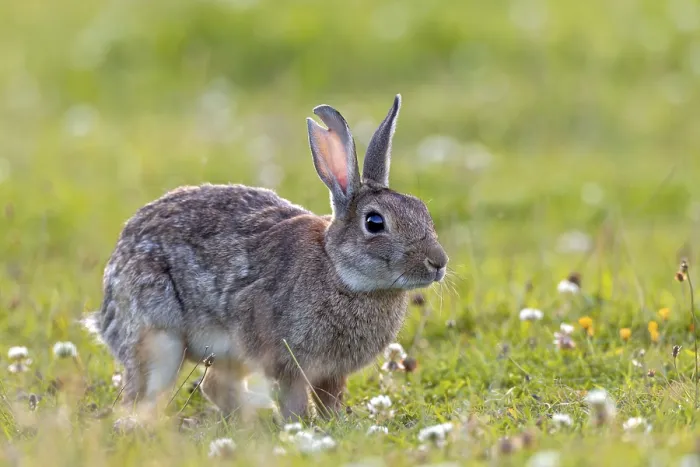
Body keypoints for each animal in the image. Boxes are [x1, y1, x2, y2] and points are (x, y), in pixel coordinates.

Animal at [89, 94, 448, 421]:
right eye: (374, 223)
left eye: (421, 209)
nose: (438, 262)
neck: (338, 271)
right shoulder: (284, 359)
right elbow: (294, 399)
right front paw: (299, 425)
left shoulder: (331, 372)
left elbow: (329, 400)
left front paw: (335, 424)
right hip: (159, 341)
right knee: (143, 395)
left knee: (214, 385)